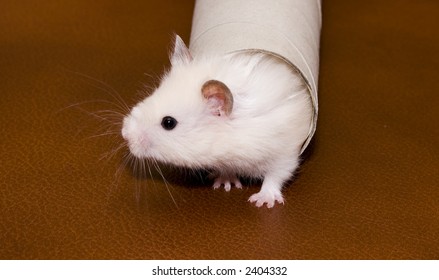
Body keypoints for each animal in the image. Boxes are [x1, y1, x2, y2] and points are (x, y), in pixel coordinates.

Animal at [120, 35, 312, 208]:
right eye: (152, 95)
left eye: (168, 123)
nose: (124, 134)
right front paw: (224, 184)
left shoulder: (284, 153)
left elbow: (276, 175)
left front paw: (261, 202)